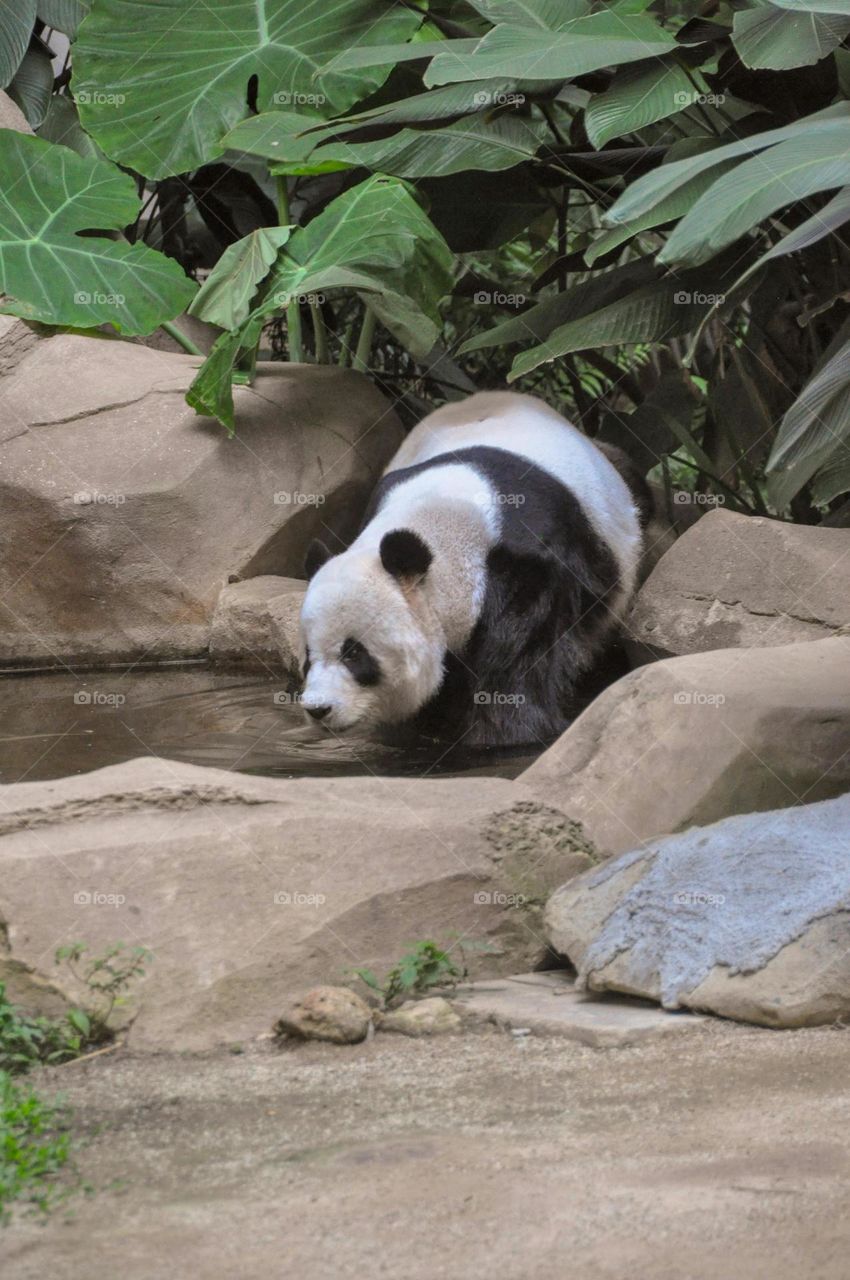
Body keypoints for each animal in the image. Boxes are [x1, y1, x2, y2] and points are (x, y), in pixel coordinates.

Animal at [298, 391, 650, 747]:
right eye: (308, 655)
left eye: (354, 653)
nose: (318, 709)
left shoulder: (531, 567)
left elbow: (516, 658)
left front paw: (504, 733)